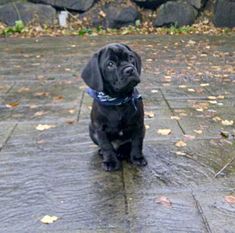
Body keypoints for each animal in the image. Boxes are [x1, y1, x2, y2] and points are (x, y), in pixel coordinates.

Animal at [81, 43, 147, 171]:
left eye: (130, 57)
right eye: (110, 64)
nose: (129, 69)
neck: (118, 100)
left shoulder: (138, 125)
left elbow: (137, 143)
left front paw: (137, 158)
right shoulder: (100, 129)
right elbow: (106, 146)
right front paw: (110, 162)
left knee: (127, 144)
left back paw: (122, 152)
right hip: (91, 130)